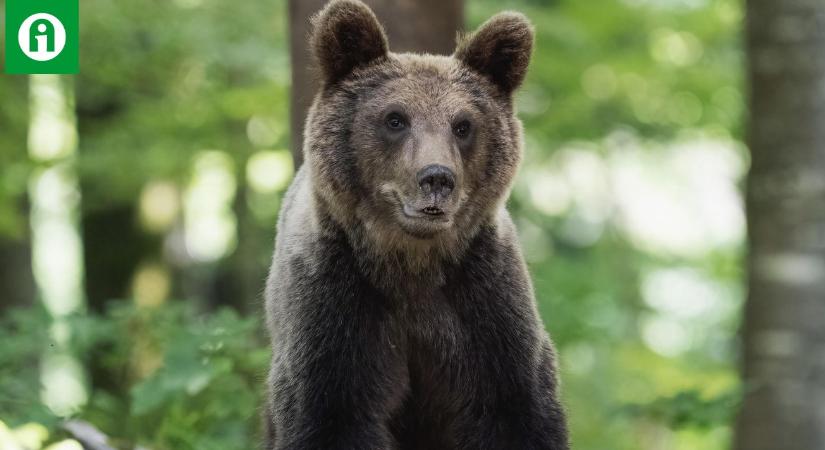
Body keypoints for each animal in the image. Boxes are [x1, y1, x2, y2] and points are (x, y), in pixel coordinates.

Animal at [262, 1, 568, 448]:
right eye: (395, 119)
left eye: (463, 125)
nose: (437, 178)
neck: (412, 263)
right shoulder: (334, 309)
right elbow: (331, 416)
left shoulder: (486, 308)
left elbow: (517, 410)